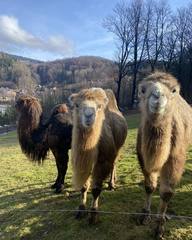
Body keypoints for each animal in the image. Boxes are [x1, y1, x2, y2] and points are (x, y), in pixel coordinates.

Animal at [69, 87, 127, 223]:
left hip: (117, 147)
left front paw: (93, 214)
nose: (89, 115)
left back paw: (111, 184)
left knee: (114, 163)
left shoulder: (102, 161)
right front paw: (81, 209)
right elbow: (84, 186)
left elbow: (96, 189)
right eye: (76, 105)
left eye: (99, 106)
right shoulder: (82, 162)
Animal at [136, 71, 192, 240]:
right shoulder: (143, 155)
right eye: (142, 89)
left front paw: (159, 227)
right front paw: (144, 215)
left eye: (174, 90)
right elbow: (149, 186)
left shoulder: (175, 157)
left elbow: (166, 193)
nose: (157, 95)